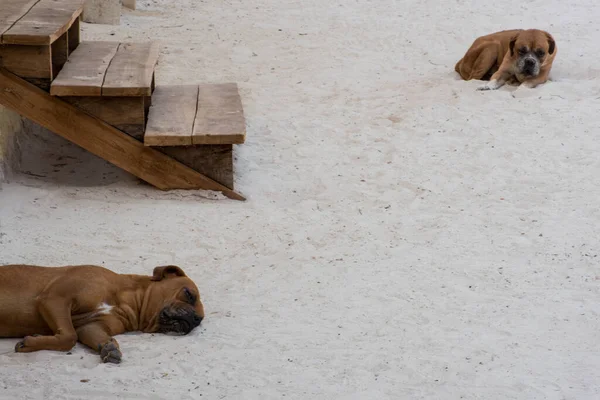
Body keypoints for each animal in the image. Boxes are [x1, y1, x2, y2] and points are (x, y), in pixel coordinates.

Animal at [0, 264, 204, 364]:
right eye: (189, 294)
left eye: (200, 320)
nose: (195, 319)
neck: (127, 300)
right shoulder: (55, 298)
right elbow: (69, 337)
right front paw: (30, 342)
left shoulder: (90, 326)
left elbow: (78, 335)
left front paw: (109, 347)